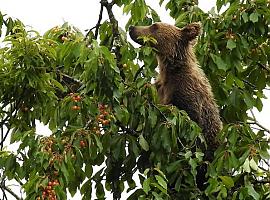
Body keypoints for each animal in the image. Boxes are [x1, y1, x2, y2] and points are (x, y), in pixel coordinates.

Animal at [130, 22, 223, 188]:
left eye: (154, 26)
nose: (132, 28)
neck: (171, 70)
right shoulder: (159, 90)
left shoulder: (186, 92)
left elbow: (189, 120)